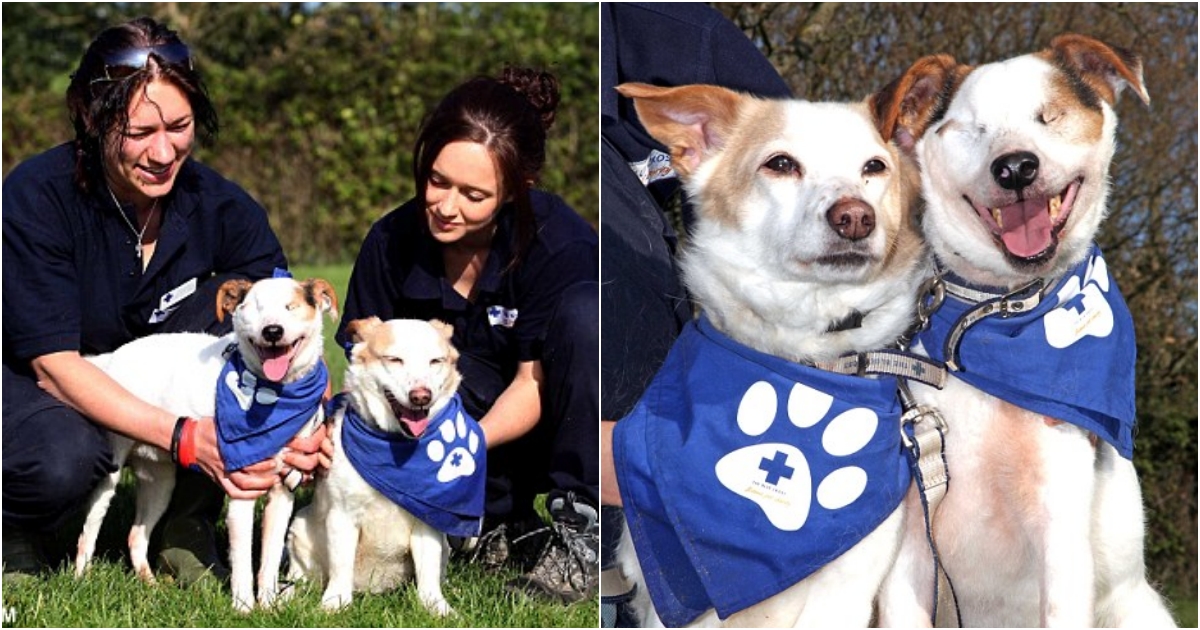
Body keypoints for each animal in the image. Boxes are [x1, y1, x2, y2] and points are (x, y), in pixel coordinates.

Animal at [73, 273, 338, 609]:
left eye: (291, 307)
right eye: (254, 307)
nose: (272, 331)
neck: (276, 394)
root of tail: (112, 357)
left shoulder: (282, 494)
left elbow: (268, 560)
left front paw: (267, 605)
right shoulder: (241, 493)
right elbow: (242, 563)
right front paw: (244, 608)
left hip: (160, 481)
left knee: (136, 535)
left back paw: (150, 584)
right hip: (110, 473)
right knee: (88, 531)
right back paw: (80, 578)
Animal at [283, 316, 484, 612]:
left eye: (435, 361)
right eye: (395, 359)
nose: (421, 396)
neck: (394, 445)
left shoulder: (427, 522)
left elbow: (428, 572)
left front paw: (437, 607)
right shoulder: (343, 515)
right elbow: (340, 566)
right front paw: (335, 603)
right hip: (299, 531)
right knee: (301, 576)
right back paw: (287, 594)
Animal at [878, 35, 1176, 628]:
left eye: (1050, 115)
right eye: (971, 128)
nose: (1015, 168)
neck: (996, 311)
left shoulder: (1060, 532)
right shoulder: (912, 550)